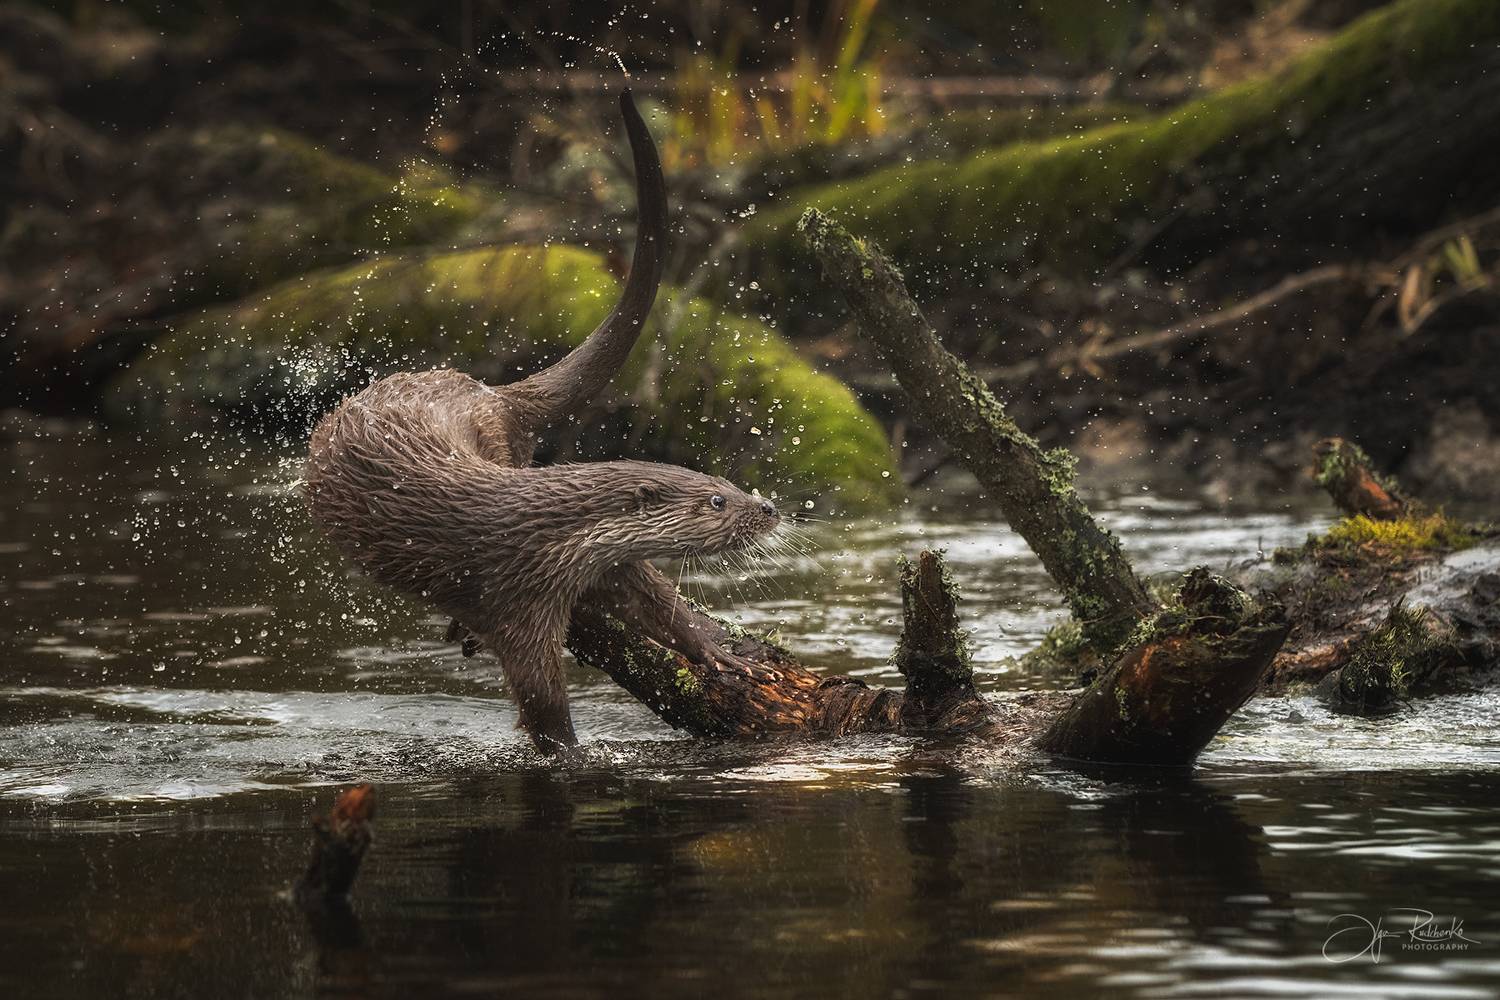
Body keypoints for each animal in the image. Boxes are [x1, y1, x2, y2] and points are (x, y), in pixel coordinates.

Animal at [304, 91, 780, 753]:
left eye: (731, 485)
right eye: (716, 500)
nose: (767, 508)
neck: (541, 536)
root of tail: (490, 392)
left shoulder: (596, 565)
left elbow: (656, 600)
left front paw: (714, 648)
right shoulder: (516, 601)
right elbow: (543, 703)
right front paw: (572, 753)